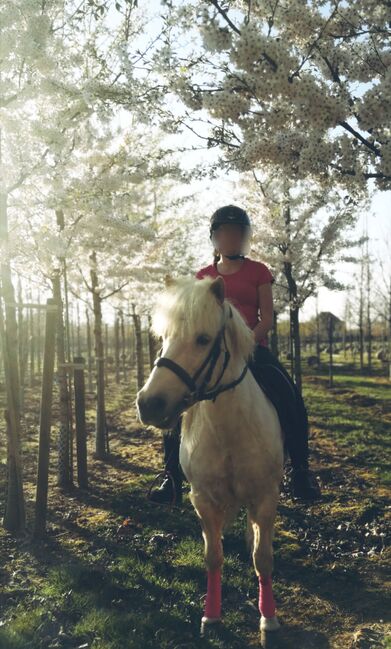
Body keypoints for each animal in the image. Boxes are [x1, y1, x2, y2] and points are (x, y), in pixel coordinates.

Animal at [136, 276, 284, 636]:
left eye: (203, 339)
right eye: (163, 338)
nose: (148, 404)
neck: (228, 429)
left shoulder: (265, 496)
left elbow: (263, 558)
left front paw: (268, 618)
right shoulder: (202, 499)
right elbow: (213, 556)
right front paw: (212, 616)